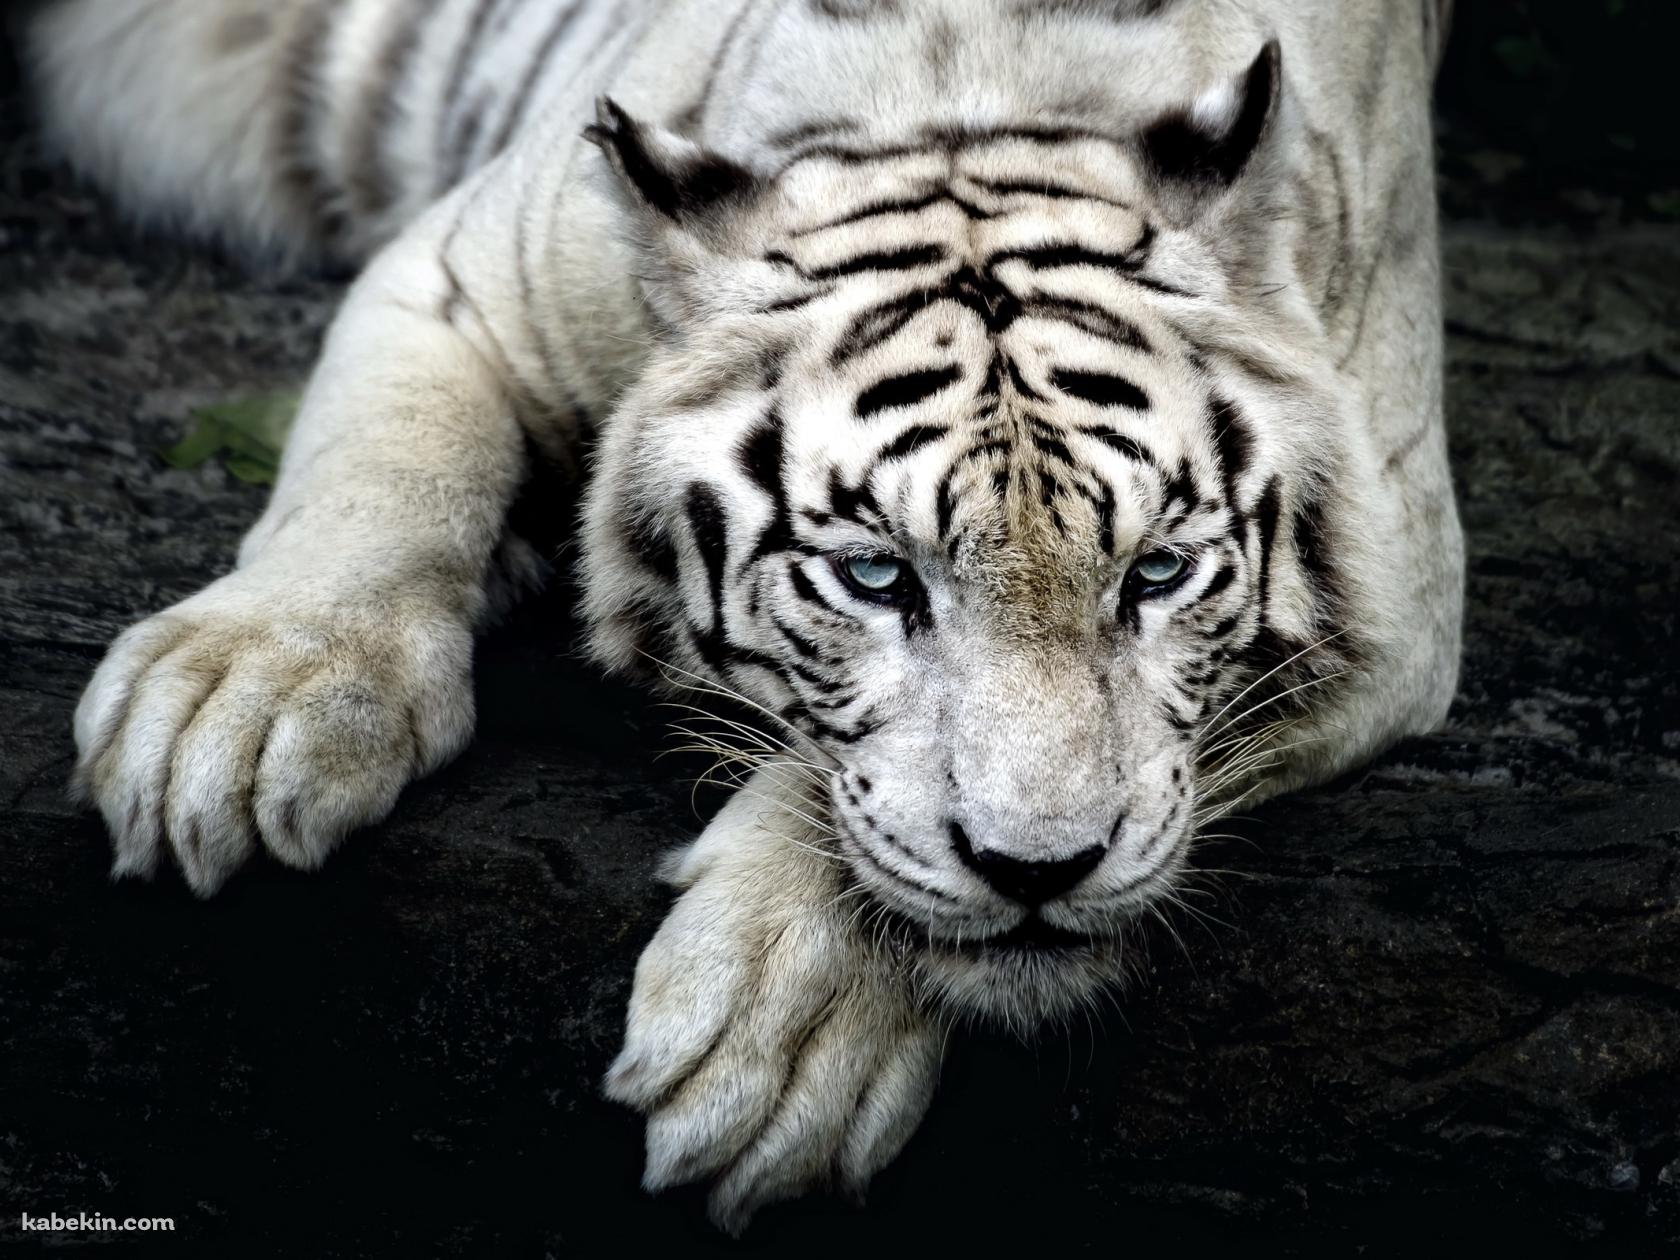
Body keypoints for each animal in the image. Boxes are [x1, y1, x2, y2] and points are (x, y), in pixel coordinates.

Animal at [25, 0, 1463, 1231]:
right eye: (877, 576)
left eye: (1157, 575)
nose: (1042, 873)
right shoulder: (458, 275)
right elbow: (381, 470)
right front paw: (238, 708)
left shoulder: (1400, 591)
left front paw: (779, 1031)